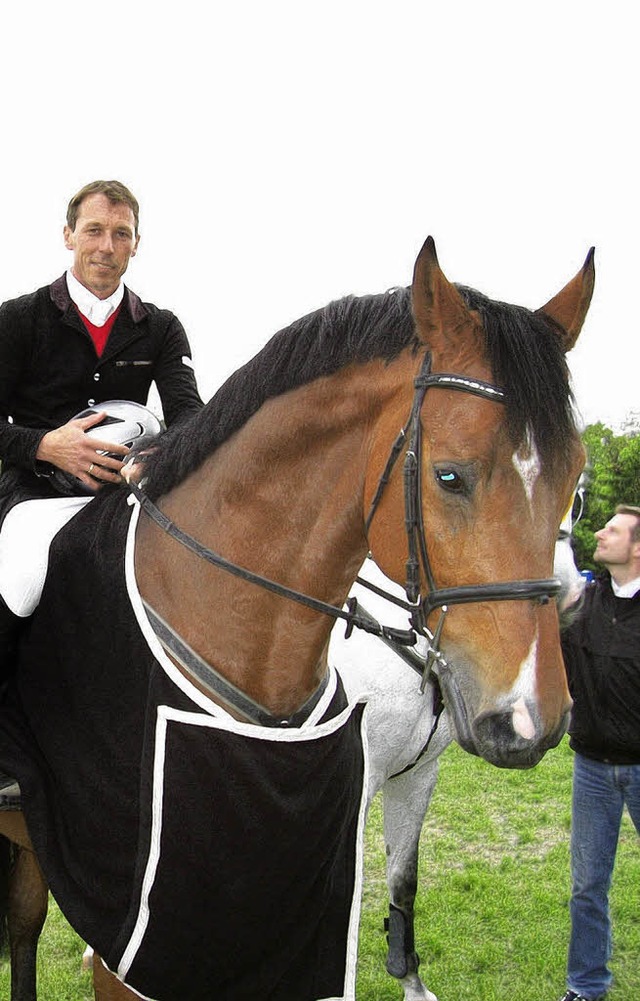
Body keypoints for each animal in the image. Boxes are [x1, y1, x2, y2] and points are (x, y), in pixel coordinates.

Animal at [0, 236, 592, 1001]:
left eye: (576, 480)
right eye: (450, 476)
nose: (530, 718)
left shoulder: (354, 822)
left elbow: (400, 880)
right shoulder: (133, 937)